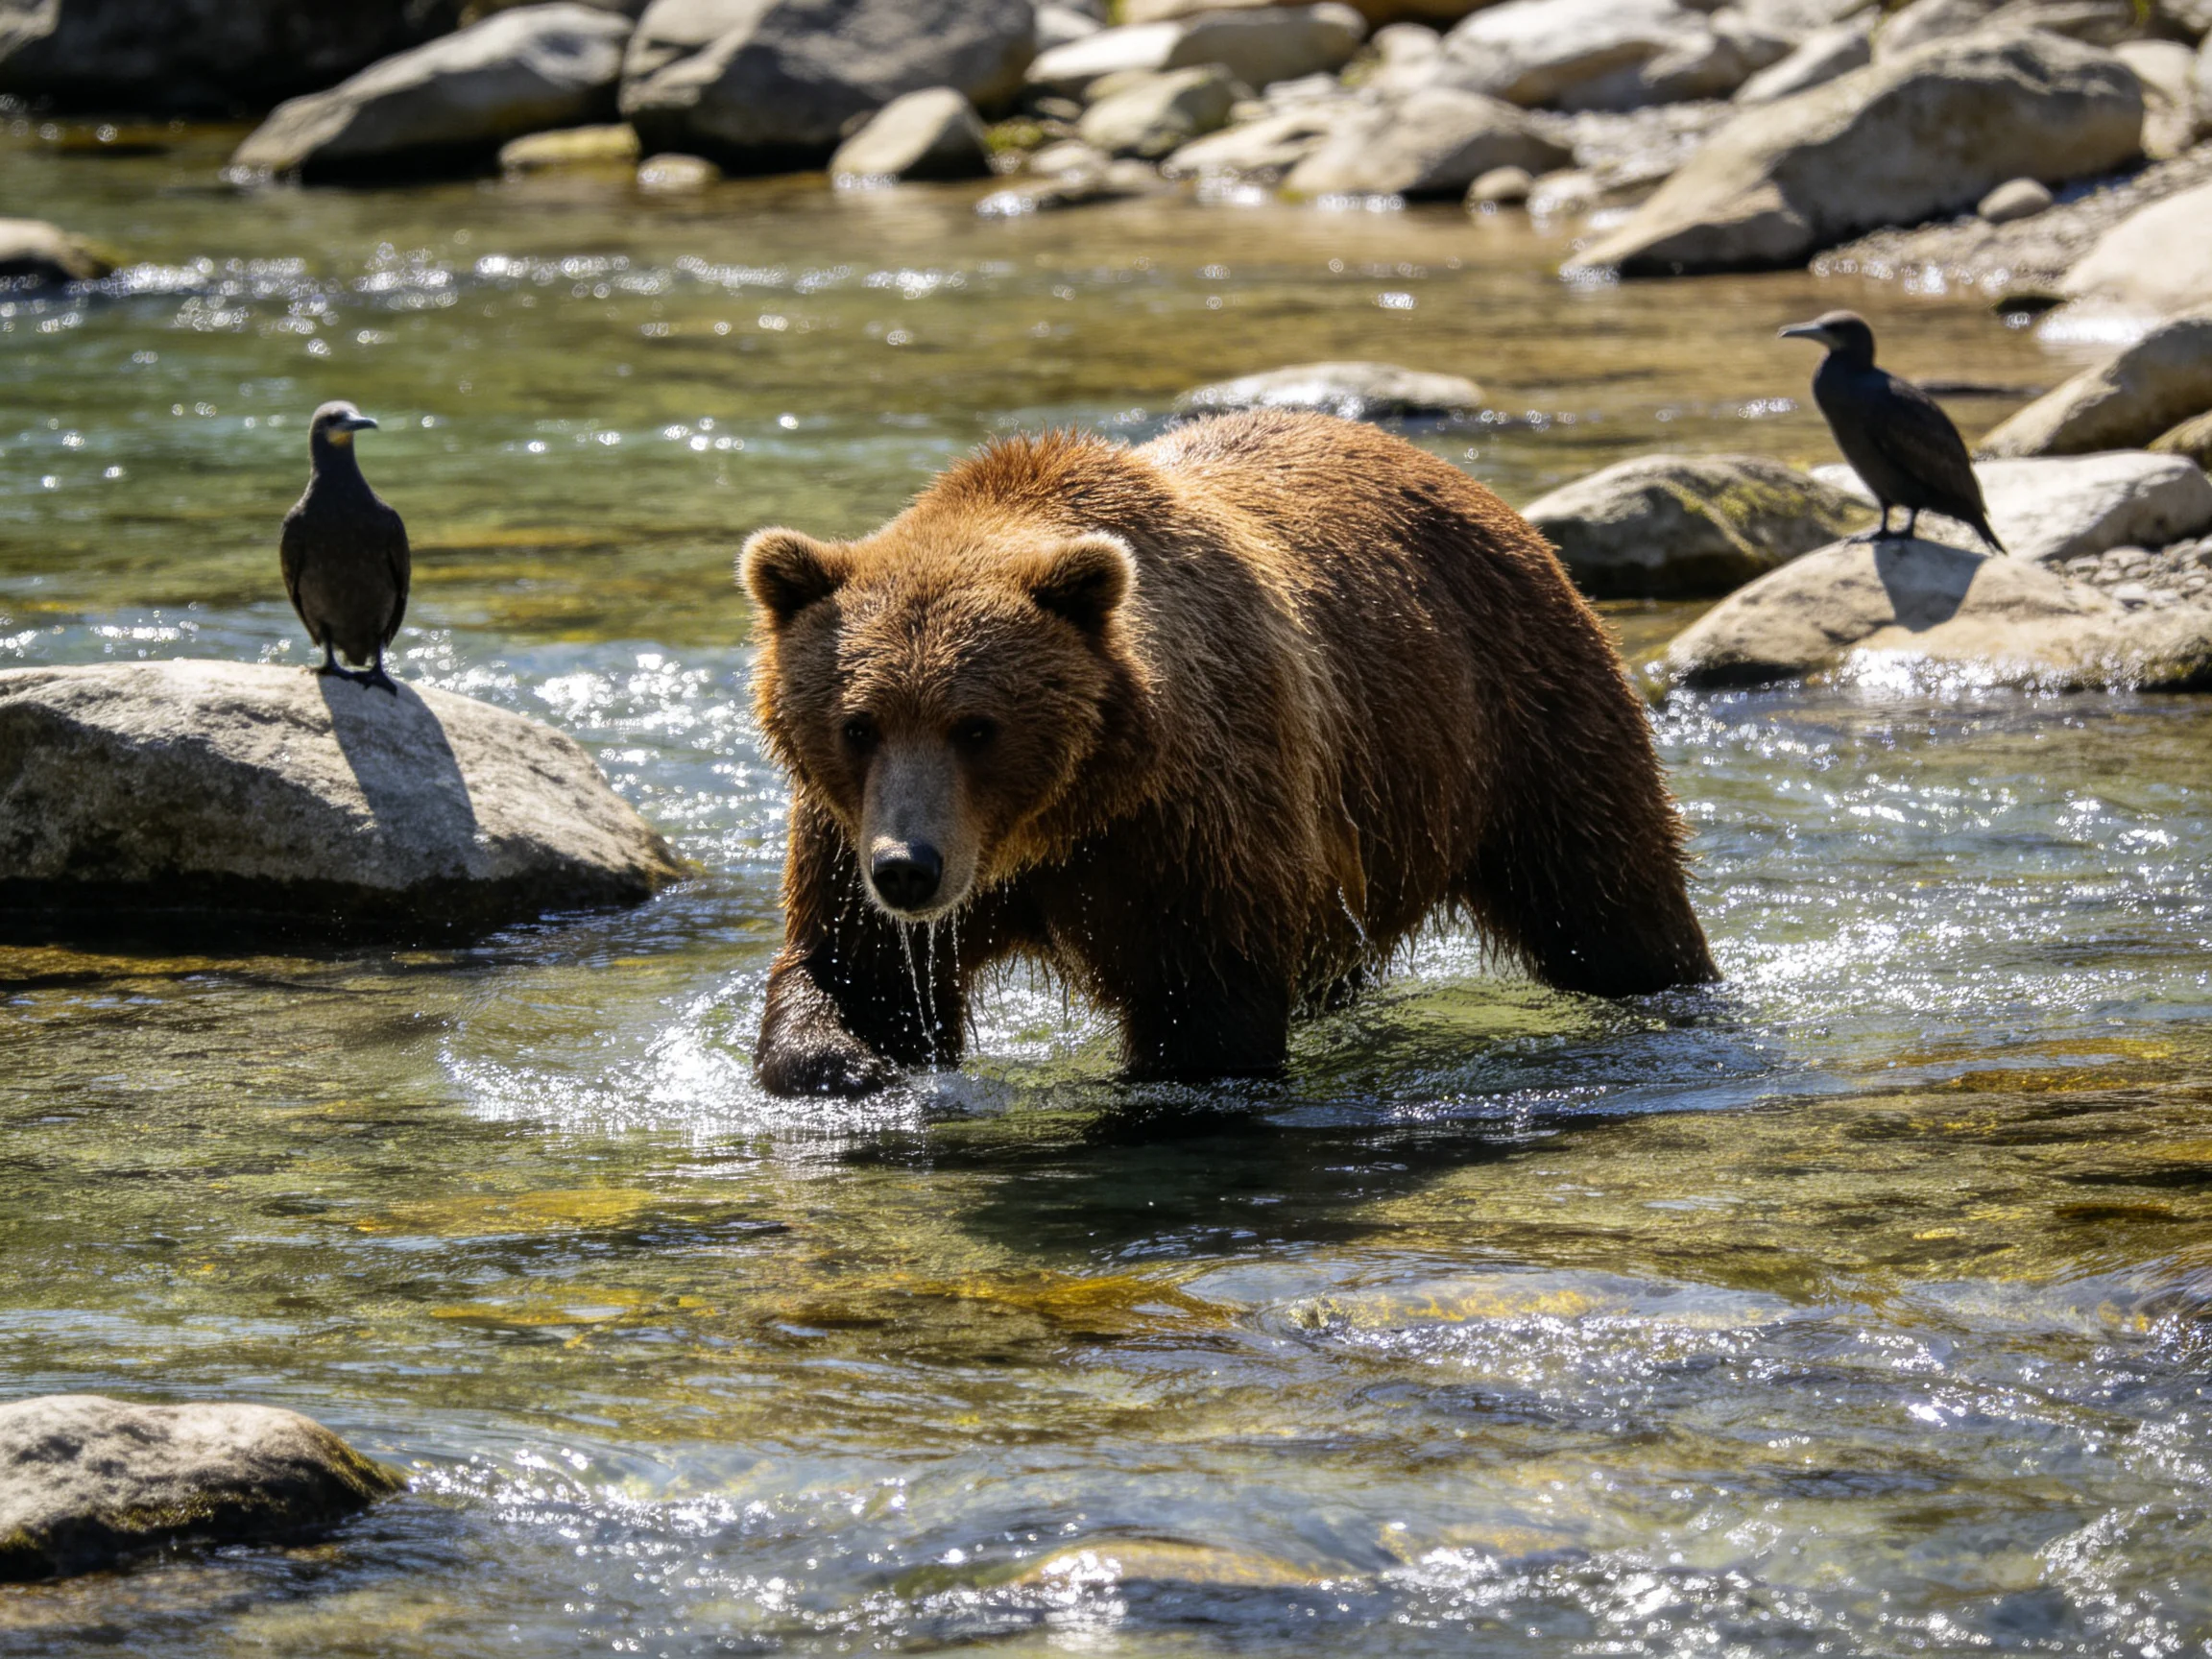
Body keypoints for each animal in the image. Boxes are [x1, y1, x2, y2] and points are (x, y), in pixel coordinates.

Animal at [739, 410, 1716, 1096]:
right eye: (859, 723)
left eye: (977, 725)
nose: (910, 867)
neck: (1054, 824)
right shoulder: (849, 828)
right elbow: (855, 972)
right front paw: (853, 1067)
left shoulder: (1190, 817)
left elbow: (1204, 1011)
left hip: (1518, 716)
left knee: (1609, 895)